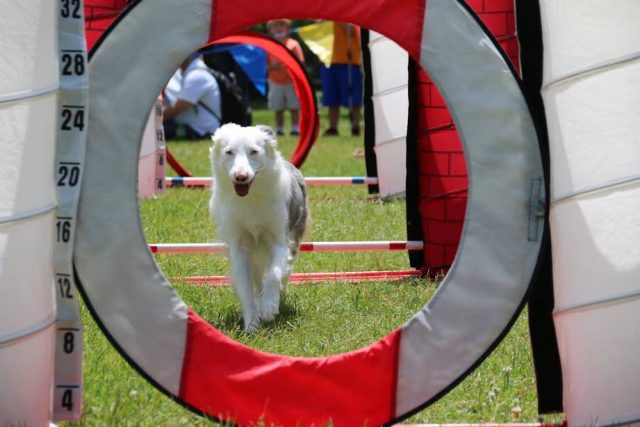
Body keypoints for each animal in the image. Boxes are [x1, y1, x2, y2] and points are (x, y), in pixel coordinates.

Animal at [210, 123, 310, 332]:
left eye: (254, 152)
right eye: (229, 152)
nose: (241, 177)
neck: (250, 197)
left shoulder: (280, 239)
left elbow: (274, 274)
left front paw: (269, 308)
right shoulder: (239, 246)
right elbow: (247, 288)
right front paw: (251, 325)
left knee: (285, 270)